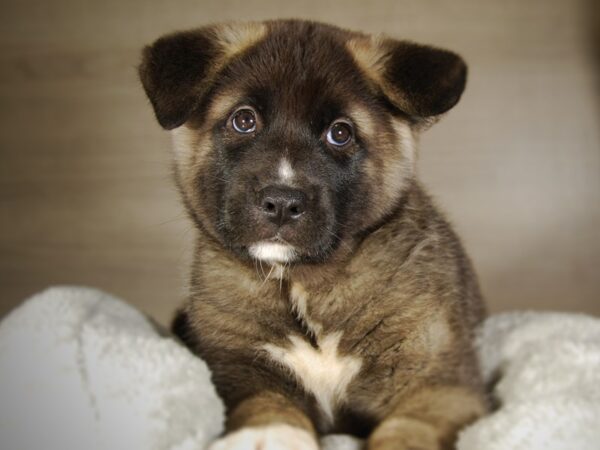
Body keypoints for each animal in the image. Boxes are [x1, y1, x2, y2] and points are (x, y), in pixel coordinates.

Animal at [139, 18, 488, 450]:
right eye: (244, 120)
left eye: (340, 133)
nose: (281, 203)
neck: (303, 284)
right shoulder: (236, 370)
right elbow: (267, 404)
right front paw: (271, 435)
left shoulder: (442, 383)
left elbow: (408, 428)